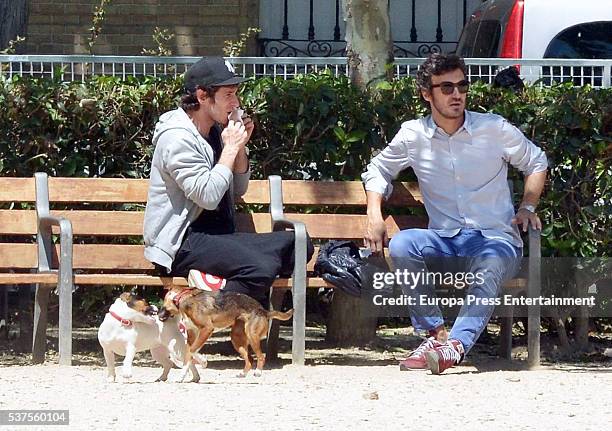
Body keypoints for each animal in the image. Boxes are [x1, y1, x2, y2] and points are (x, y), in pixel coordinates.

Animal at [157, 286, 292, 378]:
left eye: (163, 307)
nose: (157, 315)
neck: (182, 298)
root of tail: (263, 310)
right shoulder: (192, 334)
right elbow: (188, 354)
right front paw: (182, 375)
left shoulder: (207, 329)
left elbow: (192, 350)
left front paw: (202, 361)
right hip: (236, 339)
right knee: (249, 359)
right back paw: (243, 374)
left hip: (252, 336)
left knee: (260, 356)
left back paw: (258, 372)